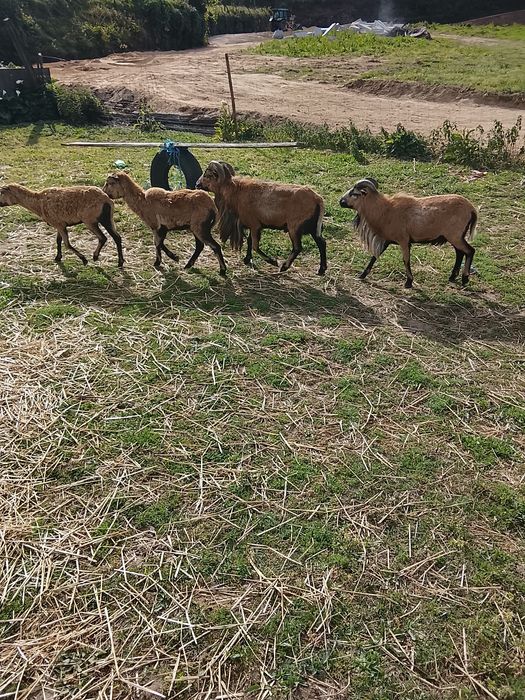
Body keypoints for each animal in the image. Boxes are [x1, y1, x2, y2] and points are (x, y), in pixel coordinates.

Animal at [196, 160, 327, 275]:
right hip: (312, 227)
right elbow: (250, 242)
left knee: (298, 248)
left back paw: (284, 266)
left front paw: (273, 261)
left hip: (294, 227)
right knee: (321, 243)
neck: (235, 191)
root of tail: (317, 199)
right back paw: (321, 270)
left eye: (207, 175)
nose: (197, 184)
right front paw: (247, 259)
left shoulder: (255, 225)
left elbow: (254, 245)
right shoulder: (251, 225)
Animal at [340, 178, 477, 288]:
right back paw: (452, 277)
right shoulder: (387, 240)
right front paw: (362, 275)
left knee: (470, 251)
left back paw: (465, 279)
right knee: (460, 253)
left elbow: (406, 260)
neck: (385, 211)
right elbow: (375, 256)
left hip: (455, 236)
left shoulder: (404, 241)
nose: (341, 201)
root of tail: (472, 209)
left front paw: (409, 282)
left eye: (354, 193)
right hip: (455, 237)